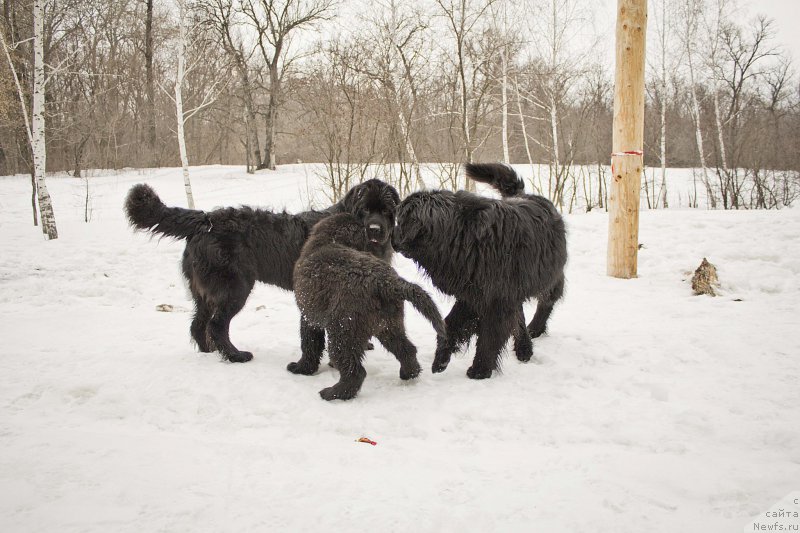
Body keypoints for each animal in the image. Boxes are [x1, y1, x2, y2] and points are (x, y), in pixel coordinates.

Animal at [125, 179, 400, 362]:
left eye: (387, 211)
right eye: (364, 210)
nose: (375, 229)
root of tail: (205, 221)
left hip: (204, 291)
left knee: (197, 324)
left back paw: (209, 352)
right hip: (234, 288)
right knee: (216, 324)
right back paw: (235, 355)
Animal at [290, 212, 446, 400]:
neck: (329, 240)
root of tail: (386, 282)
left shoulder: (308, 317)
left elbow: (309, 345)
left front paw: (301, 368)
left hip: (343, 330)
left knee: (355, 371)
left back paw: (333, 393)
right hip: (389, 325)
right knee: (407, 350)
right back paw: (408, 373)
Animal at [390, 162, 564, 378]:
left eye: (401, 221)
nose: (391, 238)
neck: (461, 235)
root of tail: (526, 195)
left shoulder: (495, 299)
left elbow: (489, 336)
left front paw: (480, 369)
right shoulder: (473, 294)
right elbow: (451, 324)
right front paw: (441, 359)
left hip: (550, 277)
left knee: (546, 302)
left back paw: (535, 329)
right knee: (520, 315)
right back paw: (524, 348)